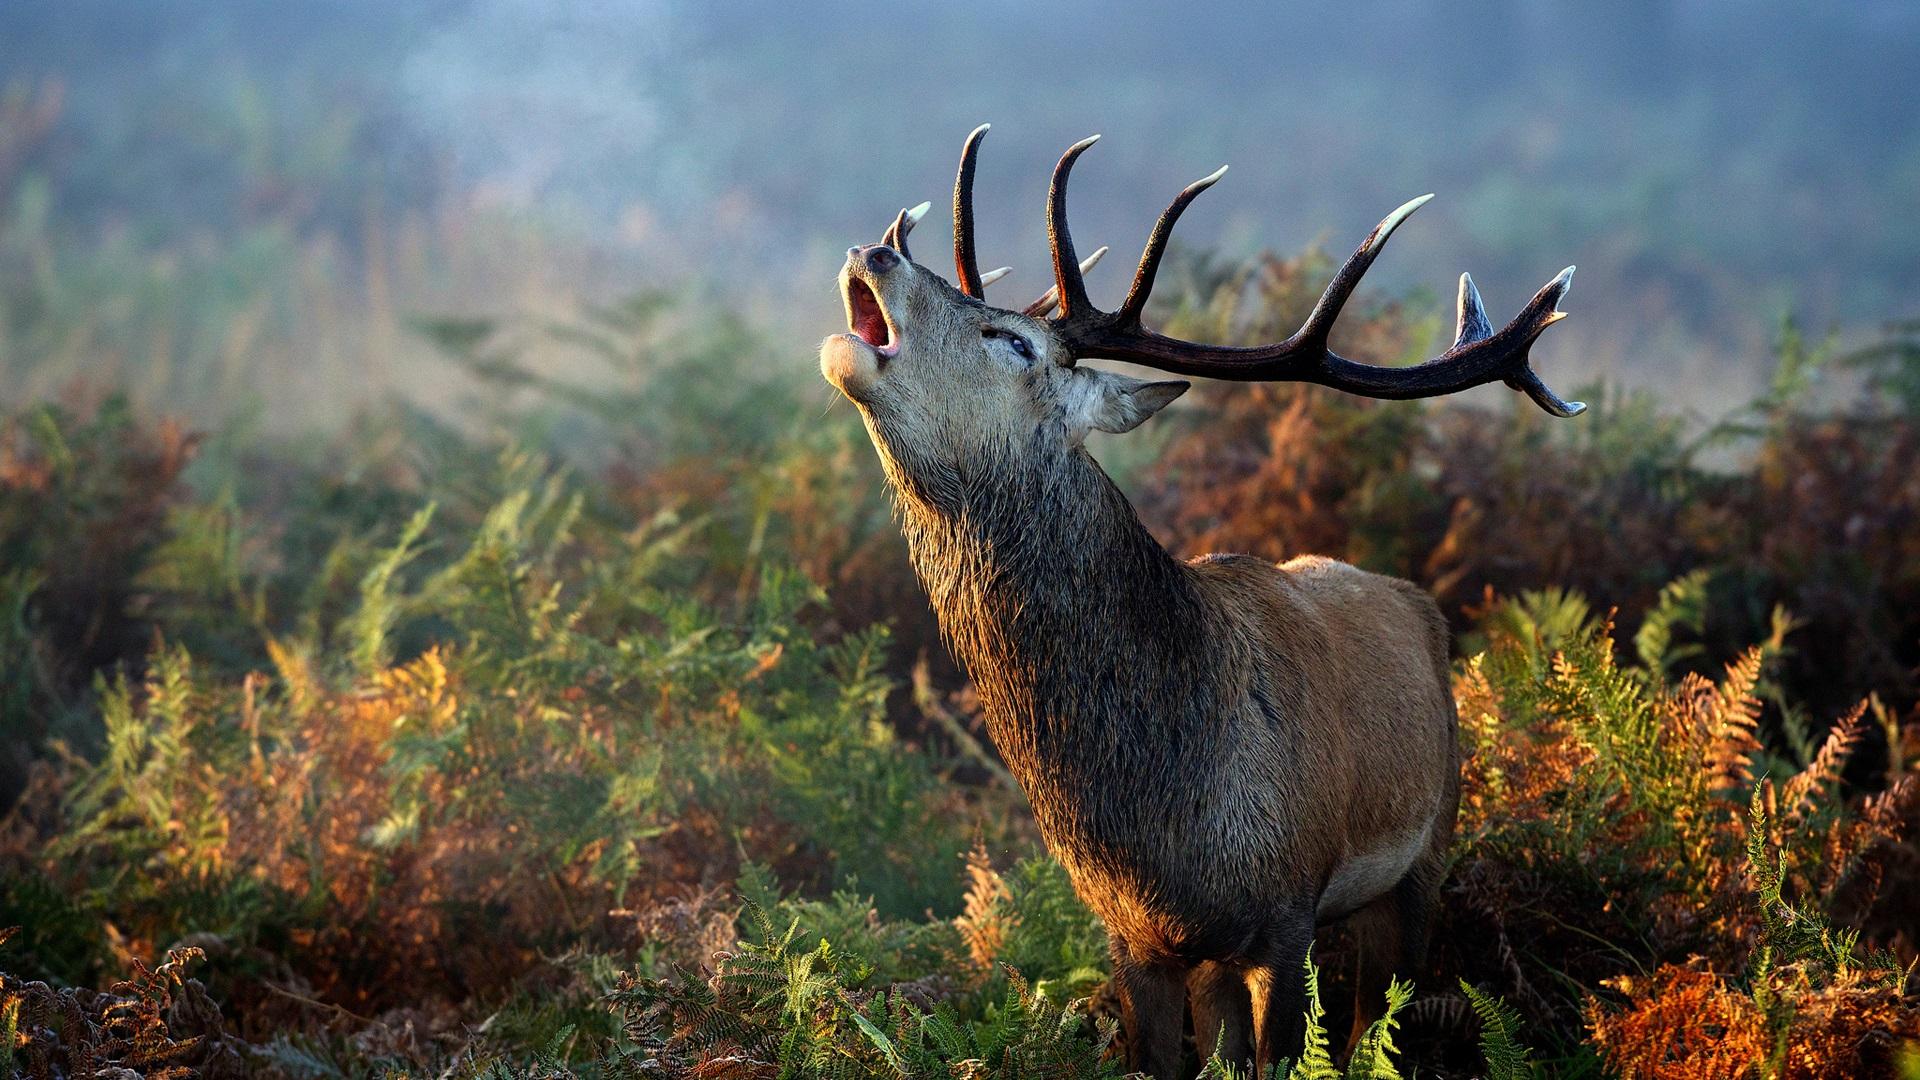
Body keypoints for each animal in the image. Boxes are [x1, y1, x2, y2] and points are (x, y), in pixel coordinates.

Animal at [817, 125, 1582, 1079]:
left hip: (1426, 853)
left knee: (1379, 1020)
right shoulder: (1131, 938)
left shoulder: (1289, 915)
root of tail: (1417, 602)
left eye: (1014, 341)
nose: (873, 250)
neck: (1164, 823)